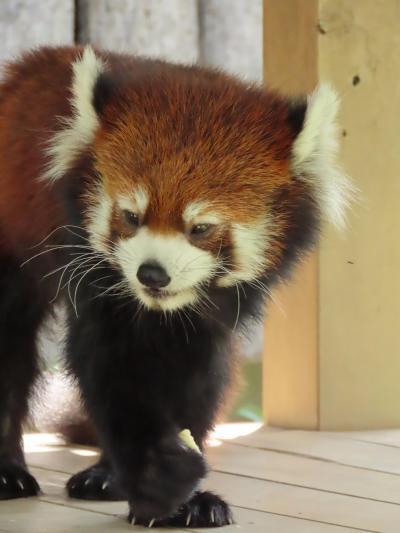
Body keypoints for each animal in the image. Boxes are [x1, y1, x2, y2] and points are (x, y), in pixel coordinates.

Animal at [0, 43, 350, 524]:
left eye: (200, 228)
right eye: (131, 216)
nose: (152, 273)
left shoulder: (206, 314)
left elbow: (195, 375)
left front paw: (185, 498)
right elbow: (114, 367)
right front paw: (158, 474)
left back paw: (106, 476)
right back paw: (6, 473)